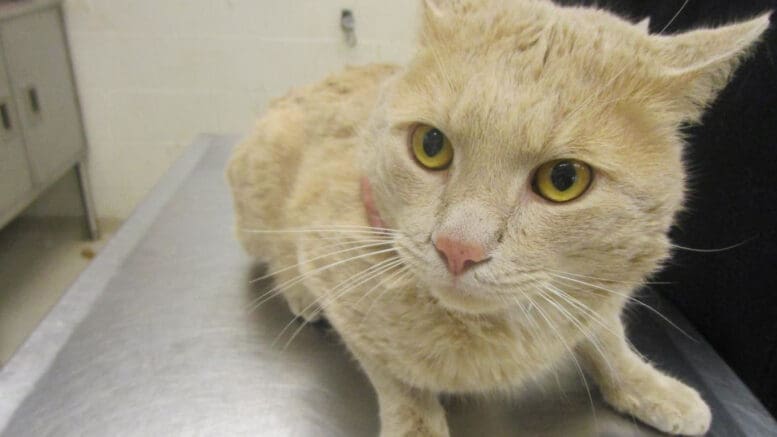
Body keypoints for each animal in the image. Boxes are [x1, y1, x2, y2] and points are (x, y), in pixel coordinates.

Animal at [226, 1, 768, 434]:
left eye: (564, 179)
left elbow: (608, 338)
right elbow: (398, 378)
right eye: (431, 145)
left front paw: (647, 385)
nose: (457, 248)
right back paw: (300, 293)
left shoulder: (597, 293)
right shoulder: (336, 270)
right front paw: (415, 425)